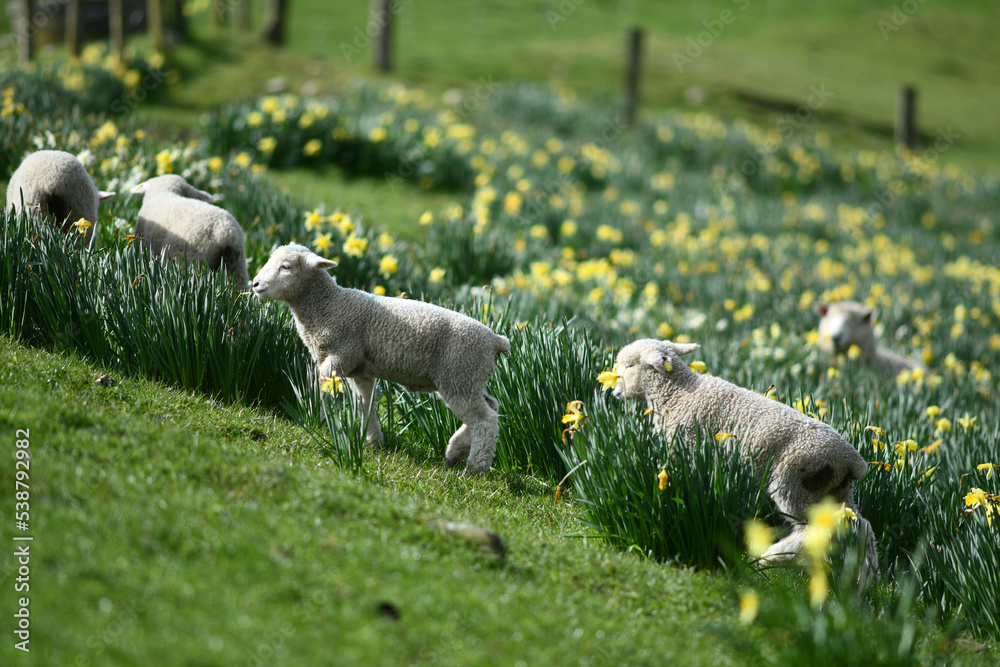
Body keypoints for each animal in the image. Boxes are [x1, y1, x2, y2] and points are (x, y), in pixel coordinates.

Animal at [254, 245, 512, 474]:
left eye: (286, 267)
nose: (255, 284)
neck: (327, 305)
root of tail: (496, 340)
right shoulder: (360, 370)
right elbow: (364, 404)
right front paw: (373, 441)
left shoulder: (343, 353)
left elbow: (322, 385)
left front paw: (313, 419)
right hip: (469, 378)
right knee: (491, 406)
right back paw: (455, 450)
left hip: (460, 373)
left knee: (484, 419)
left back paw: (476, 467)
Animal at [608, 336, 876, 580]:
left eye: (629, 366)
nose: (615, 392)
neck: (676, 394)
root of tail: (855, 462)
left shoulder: (688, 445)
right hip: (835, 490)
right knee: (861, 527)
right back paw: (866, 580)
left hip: (796, 483)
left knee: (813, 529)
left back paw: (771, 556)